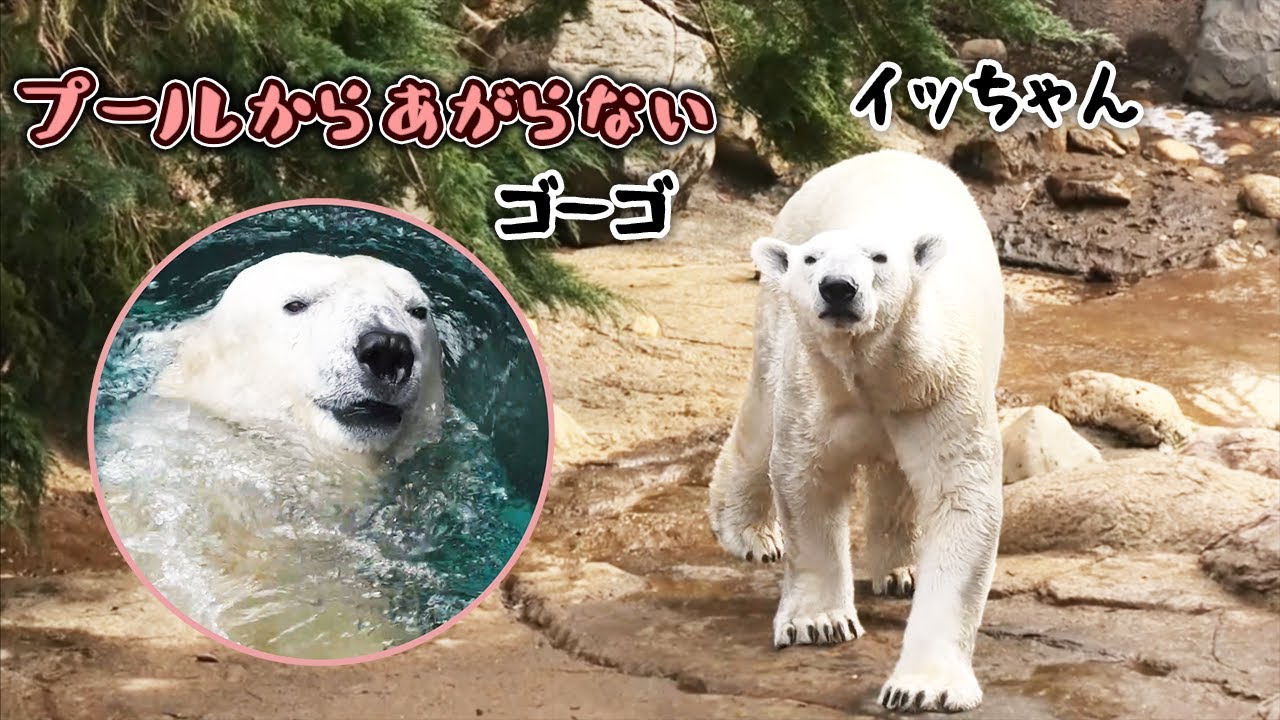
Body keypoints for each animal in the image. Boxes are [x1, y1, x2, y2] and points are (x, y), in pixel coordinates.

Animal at [709, 149, 1005, 713]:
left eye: (879, 258)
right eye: (812, 260)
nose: (838, 288)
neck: (875, 368)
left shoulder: (939, 387)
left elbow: (958, 495)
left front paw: (923, 687)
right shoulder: (818, 390)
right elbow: (807, 478)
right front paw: (820, 623)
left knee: (897, 475)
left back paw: (901, 571)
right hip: (777, 317)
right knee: (761, 412)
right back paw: (750, 533)